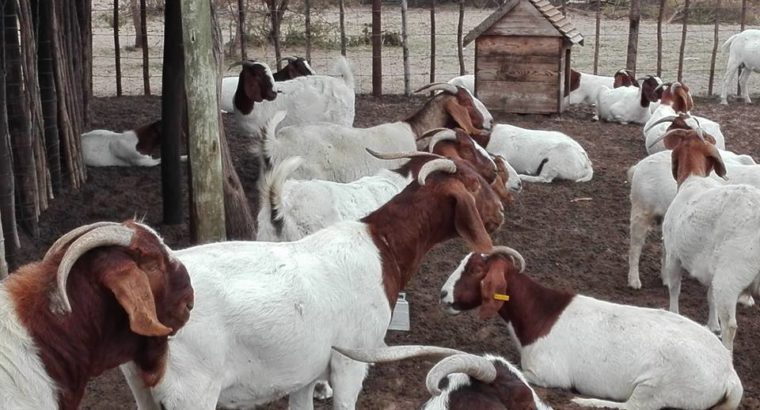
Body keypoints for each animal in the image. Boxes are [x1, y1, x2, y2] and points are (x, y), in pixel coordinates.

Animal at [121, 154, 505, 409]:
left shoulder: (304, 371)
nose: (500, 212)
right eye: (475, 185)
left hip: (142, 387)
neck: (382, 246)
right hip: (191, 390)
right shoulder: (352, 358)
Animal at [441, 246, 743, 410]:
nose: (443, 294)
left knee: (635, 406)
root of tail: (728, 375)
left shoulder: (547, 374)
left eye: (475, 270)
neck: (542, 313)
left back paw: (585, 402)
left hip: (660, 386)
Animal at [657, 127, 760, 352]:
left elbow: (675, 288)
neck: (693, 177)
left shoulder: (674, 255)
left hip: (731, 274)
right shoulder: (713, 265)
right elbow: (710, 297)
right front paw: (712, 326)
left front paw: (674, 314)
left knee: (730, 324)